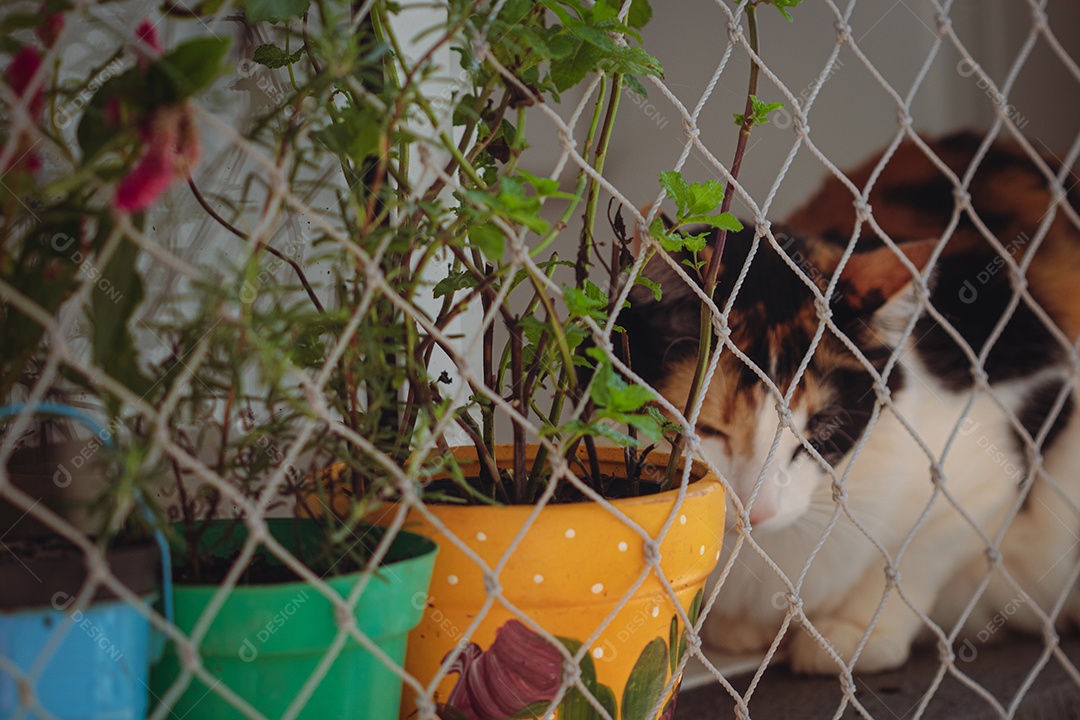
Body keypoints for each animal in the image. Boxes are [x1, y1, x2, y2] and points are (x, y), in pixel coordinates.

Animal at [626, 131, 1080, 677]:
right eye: (708, 430)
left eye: (821, 436)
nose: (759, 512)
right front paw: (740, 630)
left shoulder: (994, 460)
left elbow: (916, 554)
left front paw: (854, 634)